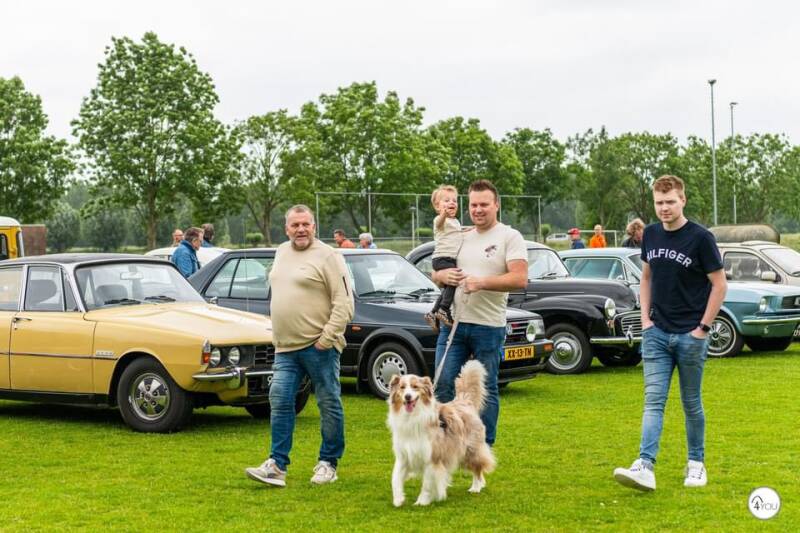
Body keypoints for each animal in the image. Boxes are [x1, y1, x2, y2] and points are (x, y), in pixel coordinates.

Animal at [387, 360, 496, 507]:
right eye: (402, 387)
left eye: (415, 387)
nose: (407, 397)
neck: (412, 417)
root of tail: (464, 401)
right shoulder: (404, 455)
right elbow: (395, 478)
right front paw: (398, 499)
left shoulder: (432, 458)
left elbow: (427, 484)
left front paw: (422, 501)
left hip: (470, 450)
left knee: (477, 467)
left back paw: (476, 487)